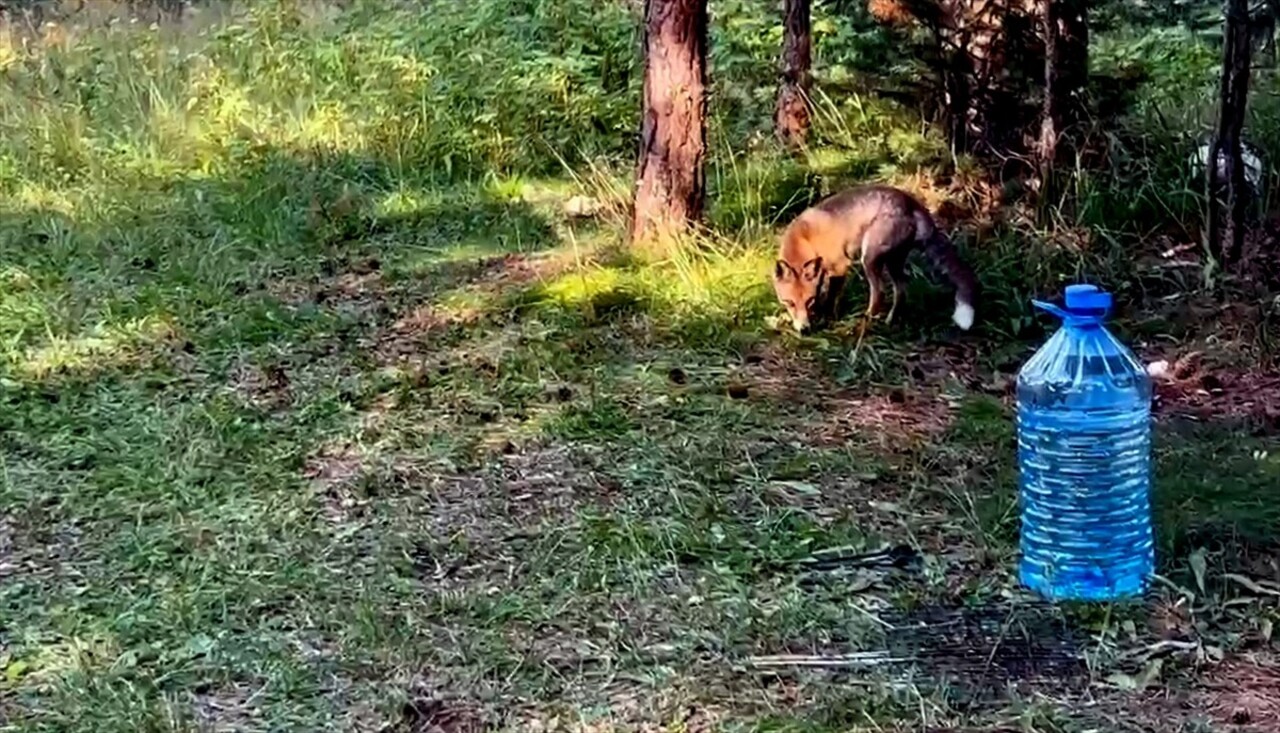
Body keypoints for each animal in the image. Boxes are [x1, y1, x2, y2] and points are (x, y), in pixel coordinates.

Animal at [768, 184, 977, 332]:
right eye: (789, 303)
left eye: (808, 301)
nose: (804, 330)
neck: (807, 239)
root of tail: (911, 201)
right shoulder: (822, 272)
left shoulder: (840, 266)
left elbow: (831, 297)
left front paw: (827, 318)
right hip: (893, 261)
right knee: (901, 289)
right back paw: (892, 320)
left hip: (868, 258)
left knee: (880, 292)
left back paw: (866, 322)